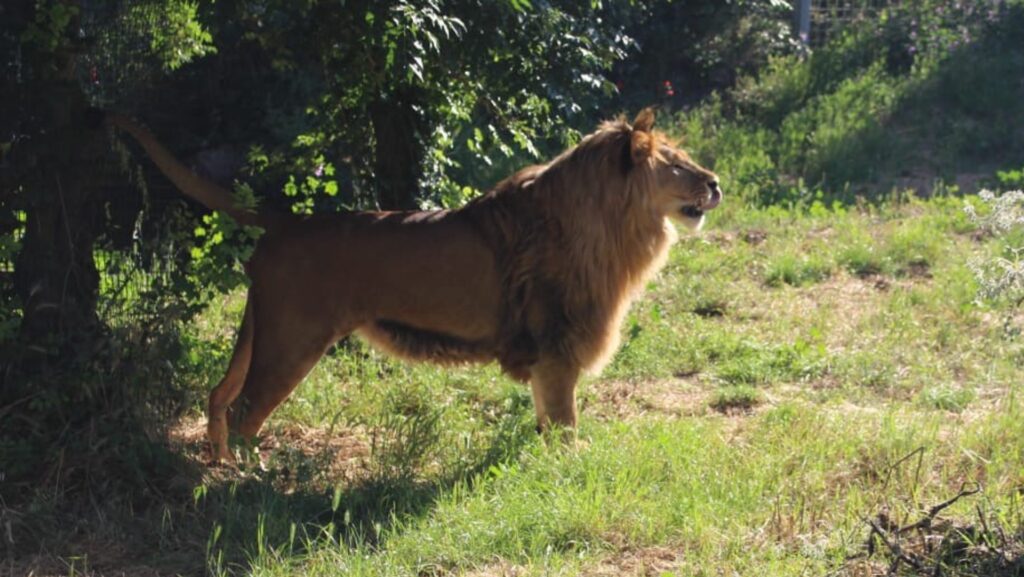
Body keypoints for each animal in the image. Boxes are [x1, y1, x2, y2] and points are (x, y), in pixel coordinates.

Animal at [107, 109, 721, 462]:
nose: (716, 183)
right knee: (244, 413)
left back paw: (215, 470)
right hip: (291, 342)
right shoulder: (557, 349)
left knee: (217, 395)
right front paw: (569, 467)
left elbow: (545, 420)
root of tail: (285, 220)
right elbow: (564, 424)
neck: (610, 226)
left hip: (259, 330)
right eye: (677, 164)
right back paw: (248, 483)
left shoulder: (548, 357)